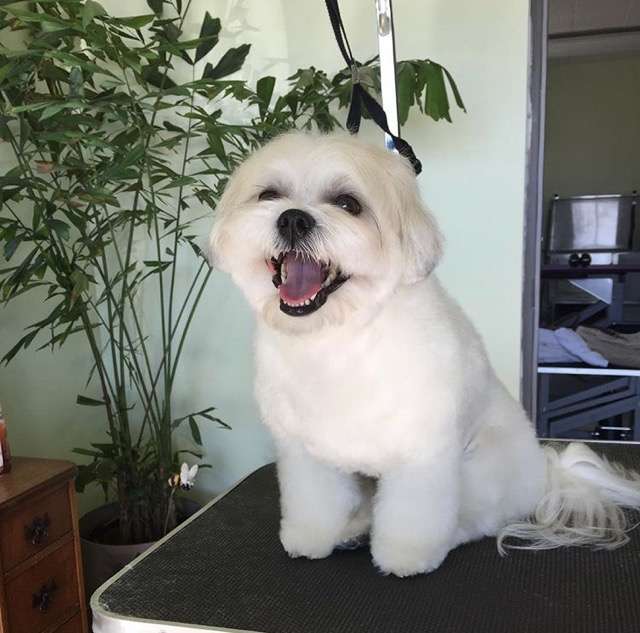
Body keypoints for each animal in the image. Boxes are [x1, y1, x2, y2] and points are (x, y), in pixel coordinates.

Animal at [212, 131, 640, 576]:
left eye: (348, 203)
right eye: (269, 194)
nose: (293, 218)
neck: (338, 337)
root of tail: (546, 472)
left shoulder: (423, 452)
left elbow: (413, 512)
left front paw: (405, 555)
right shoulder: (305, 450)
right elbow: (316, 498)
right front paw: (311, 537)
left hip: (481, 469)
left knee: (475, 519)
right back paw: (354, 528)